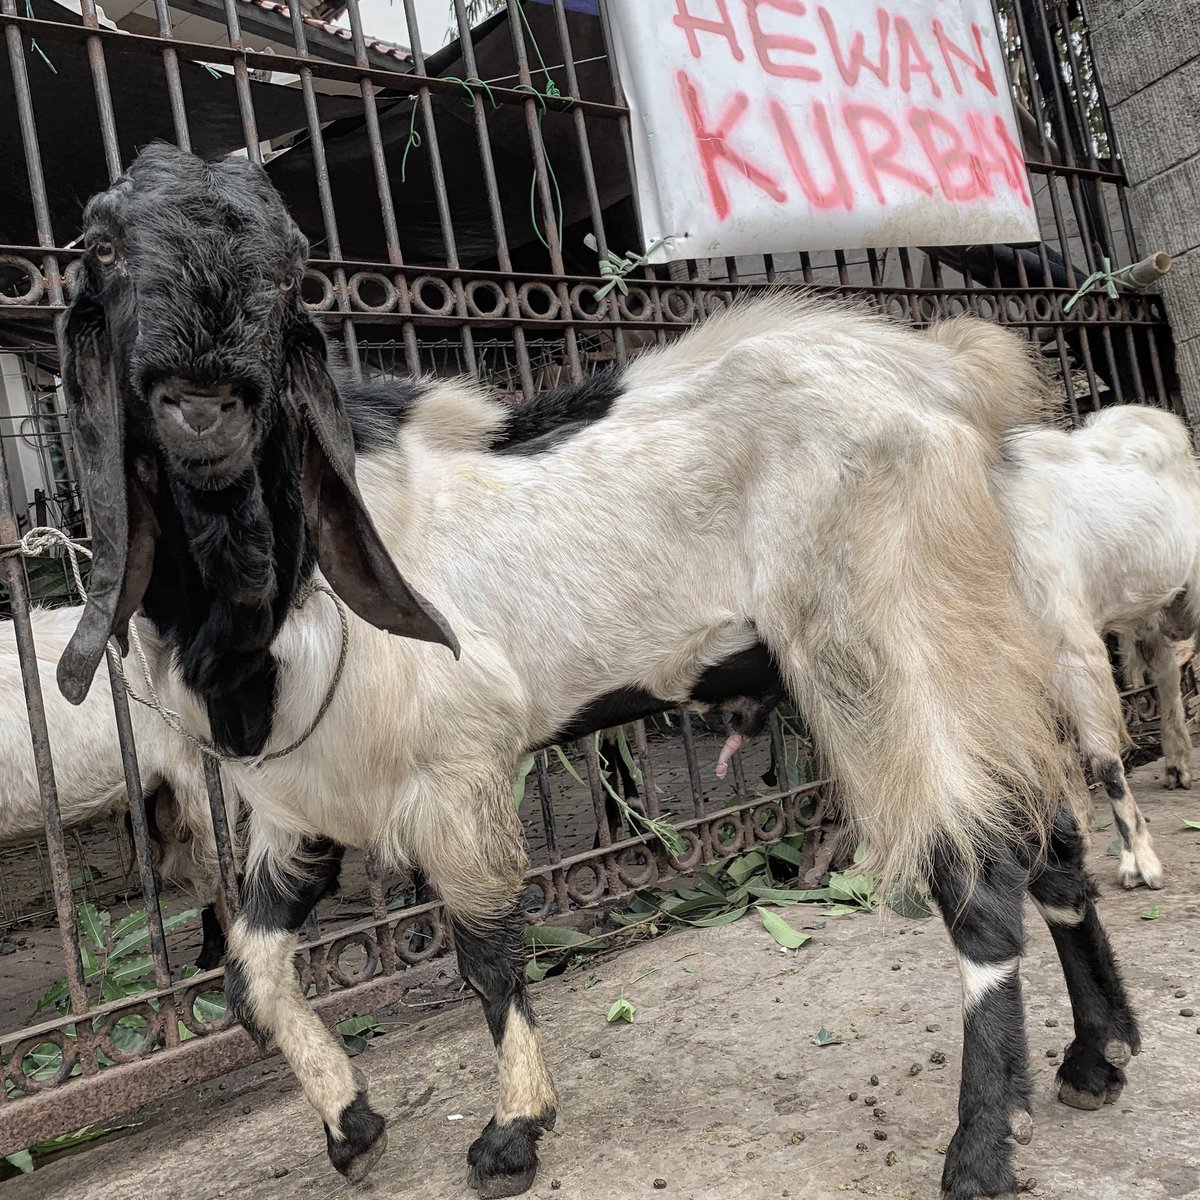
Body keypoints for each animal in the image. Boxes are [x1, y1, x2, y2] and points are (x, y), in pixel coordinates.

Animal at [53, 144, 1139, 1200]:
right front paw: (351, 1126)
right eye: (101, 249)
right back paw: (1098, 1055)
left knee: (979, 877)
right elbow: (250, 975)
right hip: (980, 642)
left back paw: (980, 1153)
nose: (203, 406)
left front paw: (511, 1137)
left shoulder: (459, 769)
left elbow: (487, 959)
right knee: (1052, 840)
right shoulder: (299, 806)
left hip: (890, 647)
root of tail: (946, 376)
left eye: (288, 269)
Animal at [996, 404, 1200, 889]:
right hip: (1142, 601)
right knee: (1165, 666)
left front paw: (1139, 861)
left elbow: (1104, 758)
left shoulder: (1071, 647)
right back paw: (1177, 762)